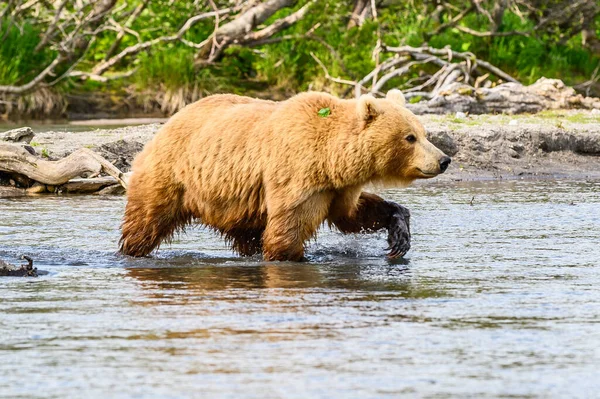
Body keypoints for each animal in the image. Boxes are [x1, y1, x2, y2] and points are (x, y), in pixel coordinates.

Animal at [119, 89, 450, 260]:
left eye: (424, 132)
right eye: (409, 137)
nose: (444, 160)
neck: (330, 159)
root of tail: (167, 123)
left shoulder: (338, 188)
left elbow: (352, 215)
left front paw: (399, 235)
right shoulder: (297, 177)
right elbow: (287, 232)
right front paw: (295, 257)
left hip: (238, 205)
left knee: (247, 235)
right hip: (170, 177)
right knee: (145, 222)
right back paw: (131, 250)